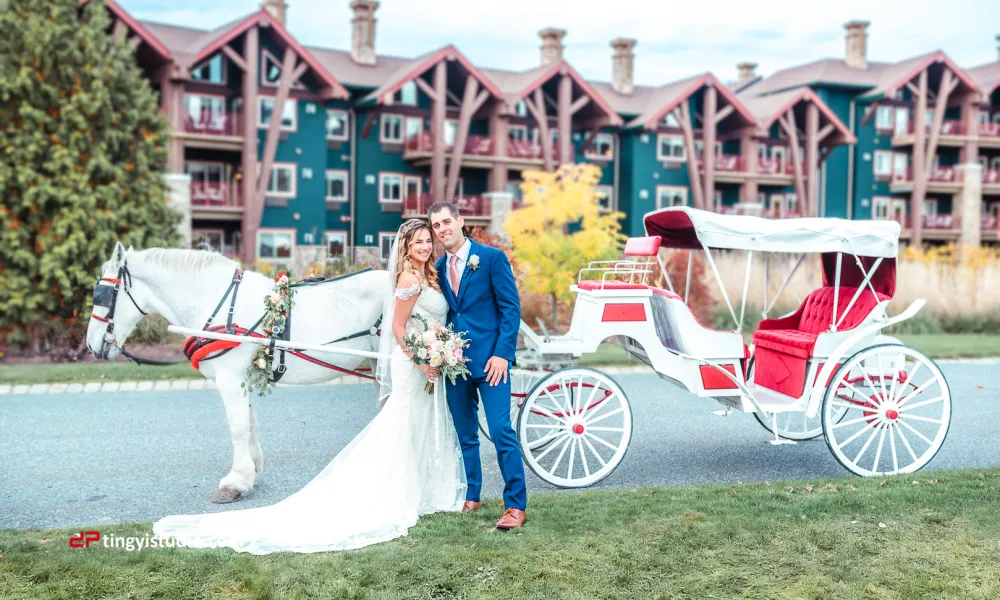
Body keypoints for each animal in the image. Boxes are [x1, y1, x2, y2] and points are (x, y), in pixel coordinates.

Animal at [86, 243, 390, 502]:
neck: (215, 302)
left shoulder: (229, 378)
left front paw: (236, 482)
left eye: (101, 295)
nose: (90, 344)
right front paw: (252, 470)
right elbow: (250, 421)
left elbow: (238, 426)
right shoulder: (244, 378)